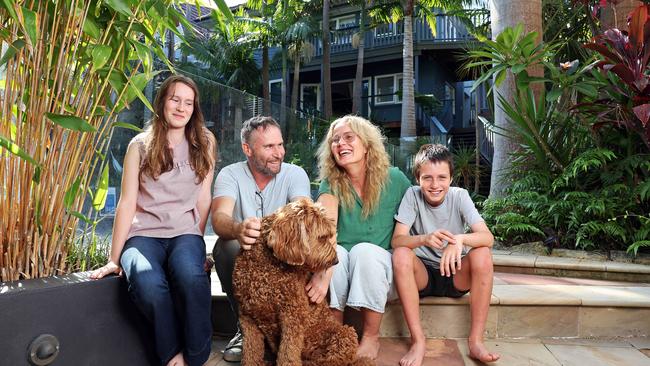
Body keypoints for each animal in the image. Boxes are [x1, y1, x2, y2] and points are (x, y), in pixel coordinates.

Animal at [233, 200, 374, 366]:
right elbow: (251, 352)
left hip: (345, 334)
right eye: (322, 237)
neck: (267, 264)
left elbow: (288, 354)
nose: (335, 261)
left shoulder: (293, 316)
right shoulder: (247, 317)